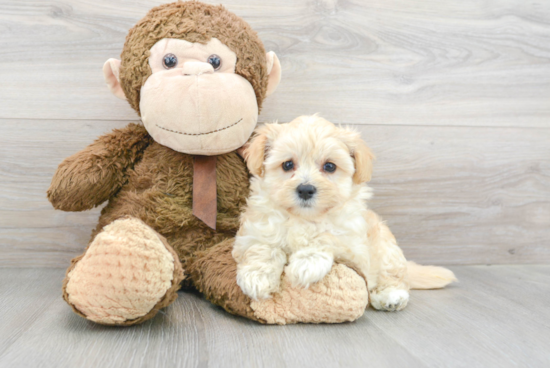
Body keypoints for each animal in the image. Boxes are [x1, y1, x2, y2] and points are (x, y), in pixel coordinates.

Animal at [234, 115, 436, 310]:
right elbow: (263, 246)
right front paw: (256, 276)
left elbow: (327, 236)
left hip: (386, 249)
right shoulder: (253, 231)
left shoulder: (354, 247)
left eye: (330, 166)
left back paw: (391, 296)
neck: (305, 218)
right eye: (288, 165)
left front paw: (307, 262)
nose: (305, 189)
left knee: (394, 276)